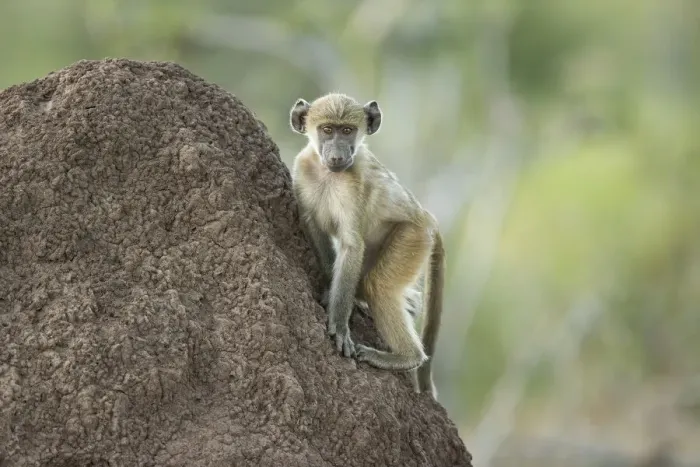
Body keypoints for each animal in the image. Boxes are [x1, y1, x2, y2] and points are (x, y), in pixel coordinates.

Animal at [289, 92, 445, 397]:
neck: (328, 174)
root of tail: (426, 218)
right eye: (328, 130)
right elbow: (312, 225)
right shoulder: (302, 168)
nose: (338, 155)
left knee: (379, 285)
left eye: (348, 131)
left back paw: (406, 357)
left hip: (412, 236)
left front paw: (339, 324)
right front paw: (331, 291)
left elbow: (352, 245)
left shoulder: (353, 186)